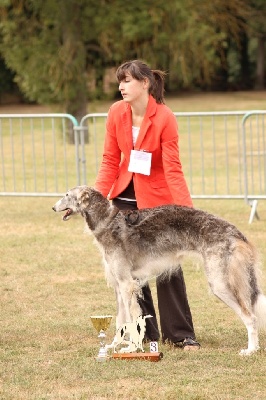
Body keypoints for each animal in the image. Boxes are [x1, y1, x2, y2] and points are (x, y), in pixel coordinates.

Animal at [52, 186, 266, 354]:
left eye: (67, 194)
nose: (53, 207)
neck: (108, 221)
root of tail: (235, 231)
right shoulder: (119, 286)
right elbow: (121, 320)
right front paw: (114, 345)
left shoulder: (126, 284)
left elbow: (130, 319)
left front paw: (130, 348)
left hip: (219, 283)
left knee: (251, 317)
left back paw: (250, 350)